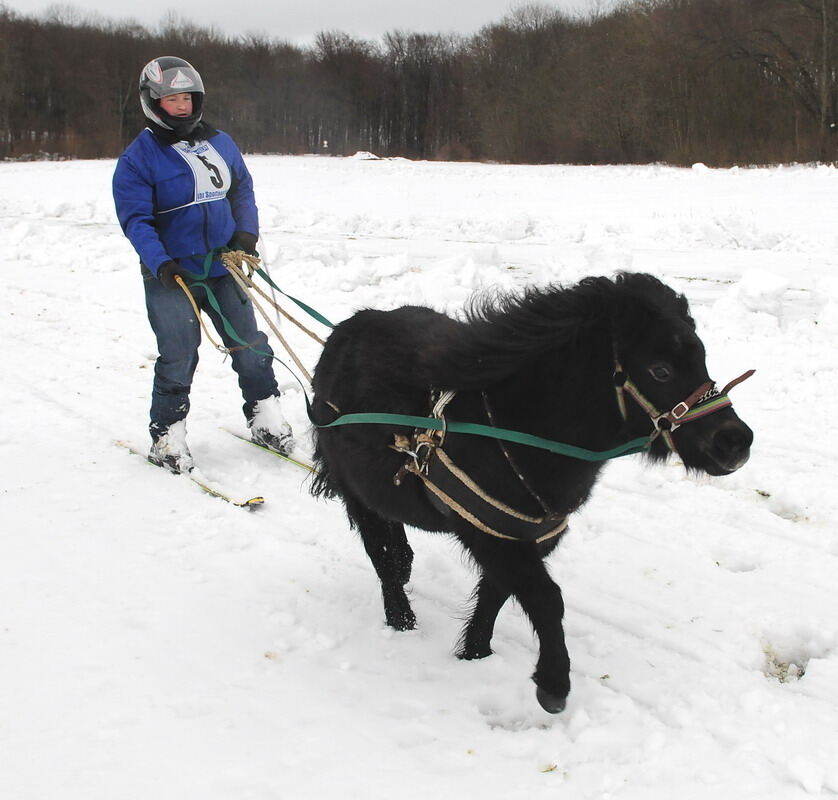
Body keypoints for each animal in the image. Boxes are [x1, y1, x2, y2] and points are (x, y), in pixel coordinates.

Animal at [310, 274, 756, 712]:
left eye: (701, 358)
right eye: (660, 370)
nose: (735, 441)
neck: (512, 428)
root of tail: (345, 330)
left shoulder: (525, 537)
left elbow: (496, 594)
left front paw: (476, 654)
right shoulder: (491, 537)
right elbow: (546, 599)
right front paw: (553, 684)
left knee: (398, 551)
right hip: (357, 495)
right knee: (384, 559)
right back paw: (401, 619)